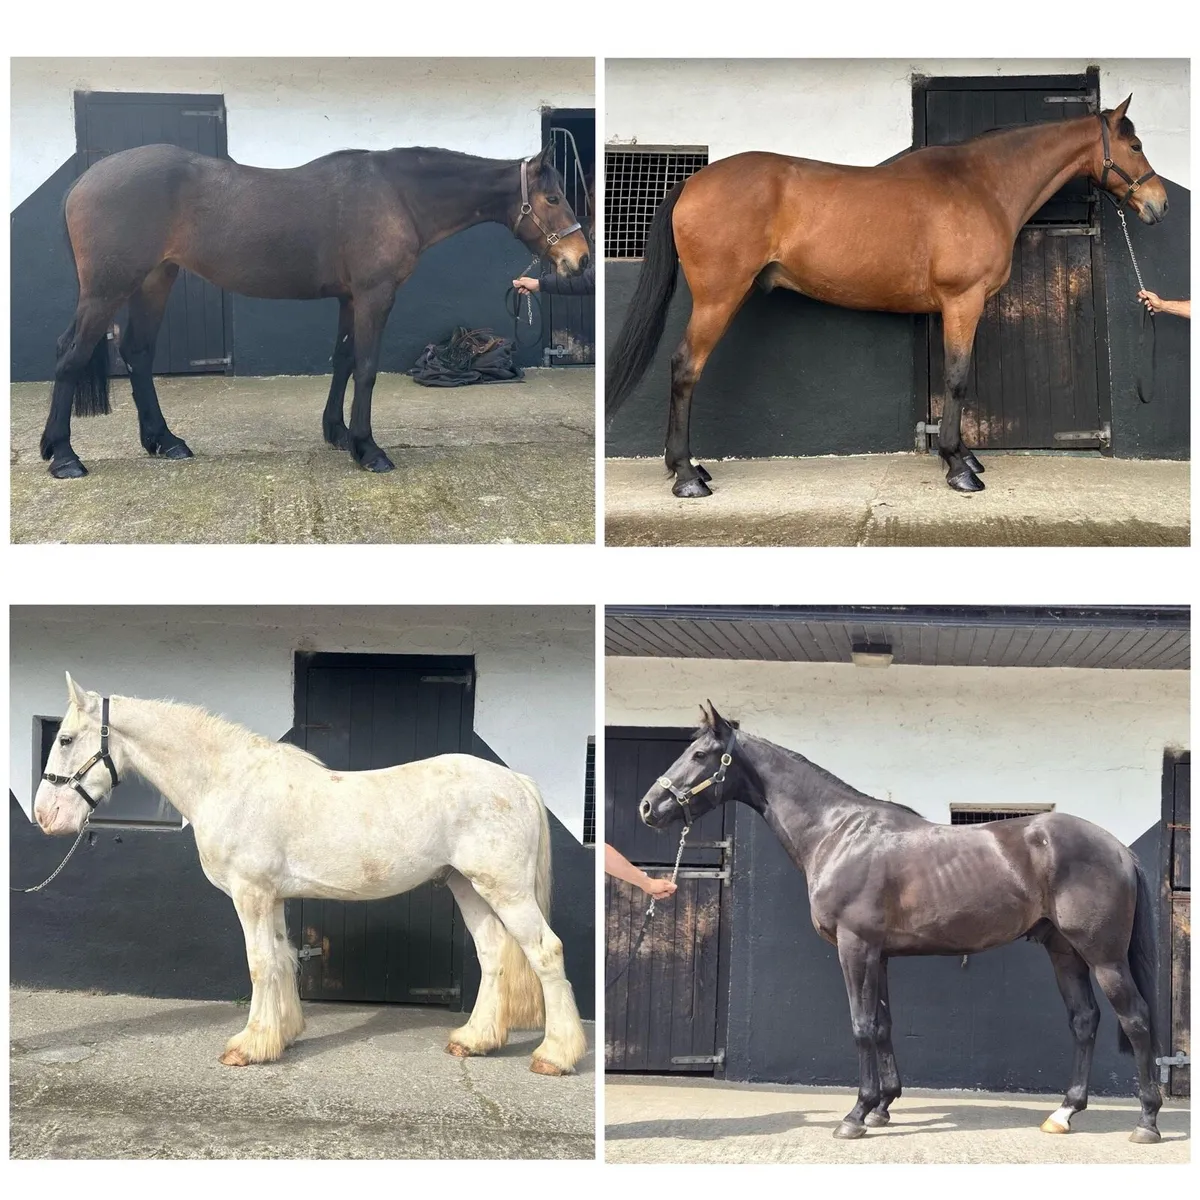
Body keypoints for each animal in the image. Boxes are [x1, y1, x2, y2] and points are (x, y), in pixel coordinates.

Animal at [32, 674, 588, 1076]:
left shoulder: (251, 894)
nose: (44, 816)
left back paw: (554, 1056)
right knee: (493, 954)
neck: (229, 782)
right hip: (466, 886)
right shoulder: (273, 898)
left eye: (65, 738)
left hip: (505, 889)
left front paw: (248, 1047)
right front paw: (283, 1034)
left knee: (546, 952)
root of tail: (516, 780)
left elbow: (260, 964)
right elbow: (281, 961)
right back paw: (474, 1042)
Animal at [40, 142, 590, 479]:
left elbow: (343, 360)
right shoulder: (374, 294)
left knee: (138, 352)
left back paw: (165, 440)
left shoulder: (349, 297)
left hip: (155, 279)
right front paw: (369, 449)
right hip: (107, 289)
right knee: (70, 355)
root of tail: (83, 182)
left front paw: (339, 434)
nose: (579, 259)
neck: (398, 195)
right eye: (552, 197)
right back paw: (63, 456)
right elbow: (366, 367)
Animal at [607, 96, 1167, 497]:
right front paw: (959, 468)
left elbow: (956, 379)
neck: (980, 185)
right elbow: (957, 380)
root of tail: (692, 182)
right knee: (685, 368)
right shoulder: (963, 301)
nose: (1159, 204)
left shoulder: (954, 308)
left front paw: (965, 455)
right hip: (718, 298)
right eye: (1136, 145)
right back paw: (686, 476)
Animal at [636, 702, 1164, 1144]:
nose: (647, 807)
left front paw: (856, 1114)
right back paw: (1064, 1112)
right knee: (1085, 1020)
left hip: (1103, 956)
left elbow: (862, 1025)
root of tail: (1120, 848)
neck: (839, 833)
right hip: (1063, 951)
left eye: (700, 754)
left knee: (1136, 1019)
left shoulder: (855, 947)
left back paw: (1147, 1122)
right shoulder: (880, 954)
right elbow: (884, 1024)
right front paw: (882, 1107)